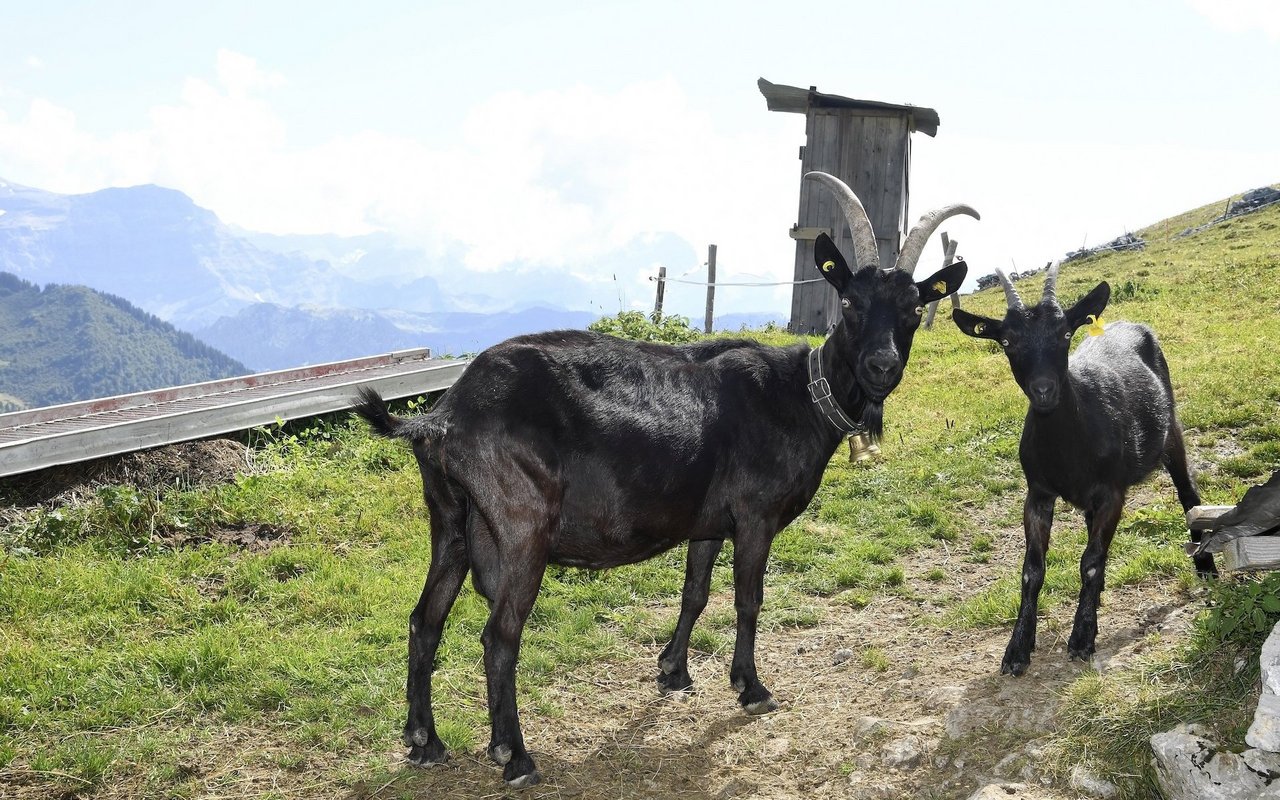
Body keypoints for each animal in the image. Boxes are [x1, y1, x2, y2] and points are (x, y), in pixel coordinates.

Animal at [355, 172, 972, 788]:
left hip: (450, 519)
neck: (800, 394)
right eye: (849, 302)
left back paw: (424, 741)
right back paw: (515, 756)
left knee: (425, 620)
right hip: (520, 525)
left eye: (915, 308)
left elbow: (695, 591)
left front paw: (673, 671)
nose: (881, 367)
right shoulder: (755, 516)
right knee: (499, 636)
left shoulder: (708, 522)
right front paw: (752, 688)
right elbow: (748, 598)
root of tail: (444, 415)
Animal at [957, 263, 1213, 675]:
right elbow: (1033, 570)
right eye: (1007, 341)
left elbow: (1089, 561)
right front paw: (1018, 649)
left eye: (1064, 333)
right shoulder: (1038, 493)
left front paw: (1081, 638)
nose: (1044, 390)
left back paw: (1206, 568)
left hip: (1171, 431)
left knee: (1188, 494)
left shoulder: (1112, 491)